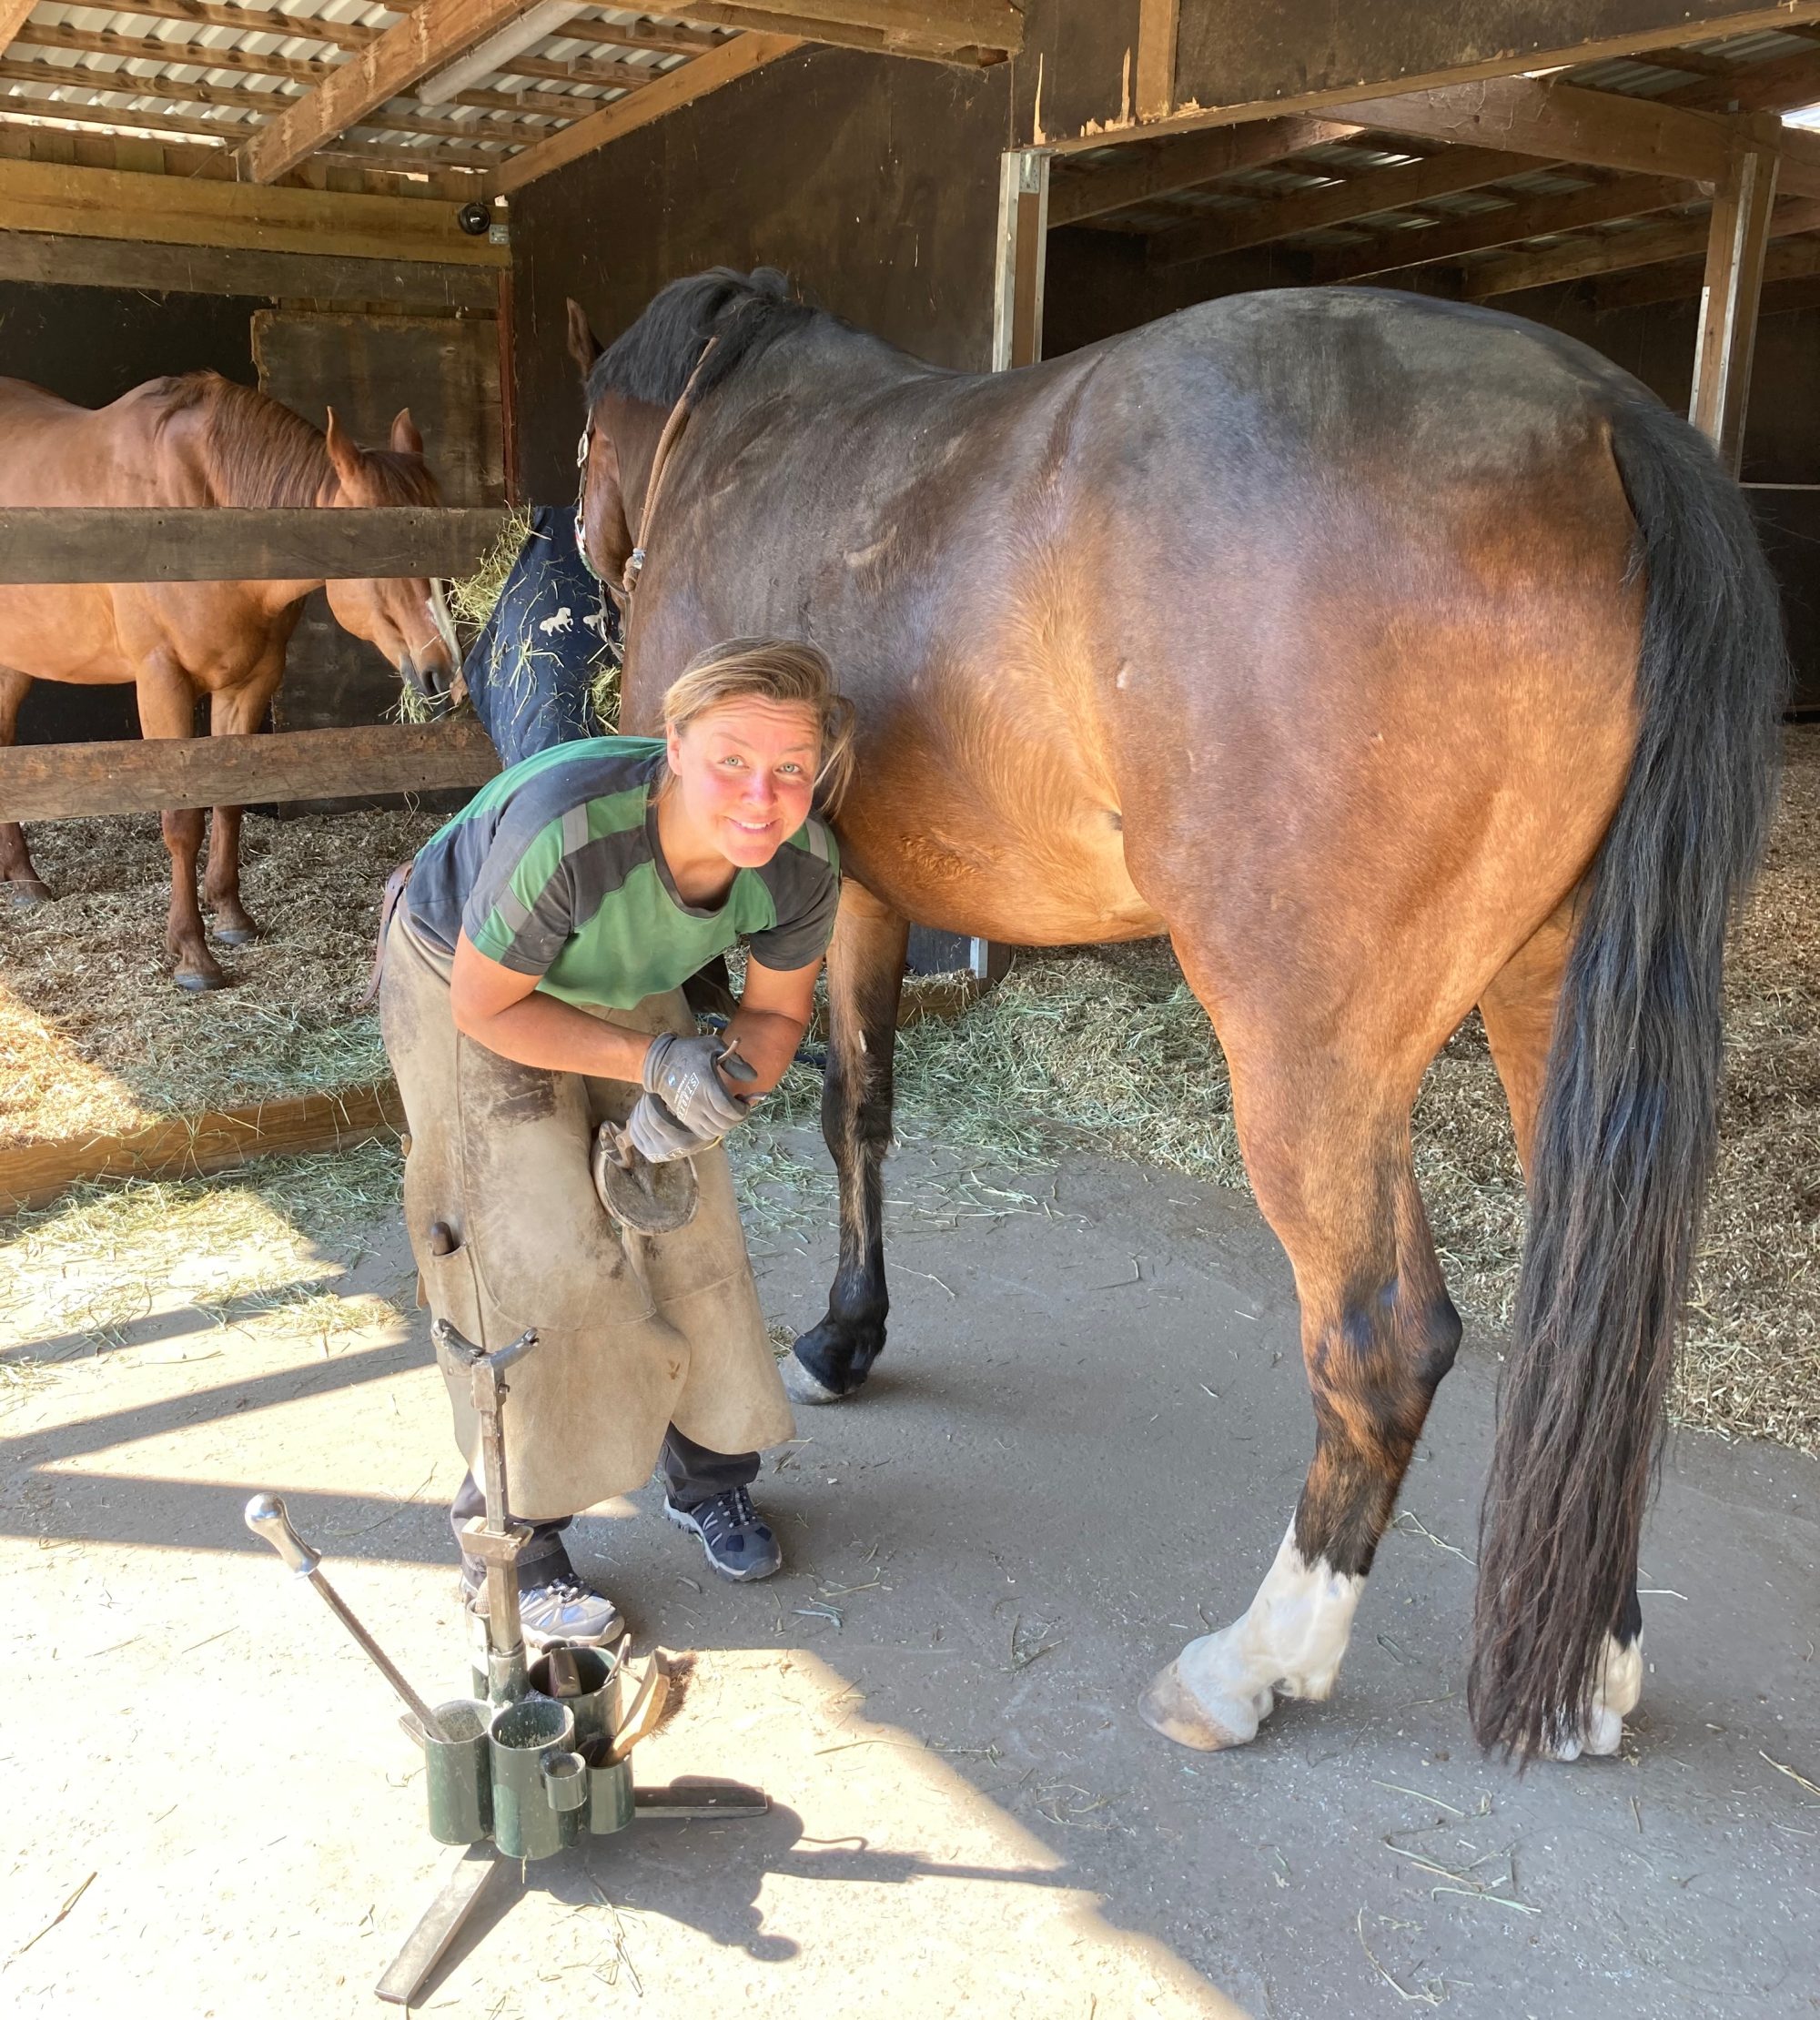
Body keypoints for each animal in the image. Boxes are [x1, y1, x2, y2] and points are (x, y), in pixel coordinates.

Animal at [0, 372, 460, 989]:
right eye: (374, 547)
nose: (445, 672)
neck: (213, 518)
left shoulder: (248, 682)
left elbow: (229, 802)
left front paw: (232, 919)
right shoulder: (162, 682)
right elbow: (182, 819)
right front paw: (192, 955)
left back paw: (24, 880)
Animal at [569, 268, 1784, 1764]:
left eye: (586, 442)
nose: (587, 549)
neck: (740, 430)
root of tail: (1604, 424)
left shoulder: (806, 891)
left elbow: (802, 1114)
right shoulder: (862, 893)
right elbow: (864, 1105)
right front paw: (849, 1336)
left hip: (1308, 1055)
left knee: (1384, 1344)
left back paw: (1249, 1667)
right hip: (1555, 1010)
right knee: (1593, 1342)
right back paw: (1594, 1673)